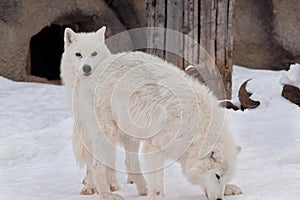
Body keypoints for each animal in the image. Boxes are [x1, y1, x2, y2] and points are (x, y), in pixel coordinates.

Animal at [59, 27, 243, 200]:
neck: (196, 127)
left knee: (128, 163)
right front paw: (155, 196)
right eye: (217, 176)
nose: (218, 199)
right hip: (107, 133)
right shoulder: (154, 148)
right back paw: (106, 193)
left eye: (225, 178)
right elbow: (158, 186)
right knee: (96, 166)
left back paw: (140, 189)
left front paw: (229, 189)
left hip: (129, 133)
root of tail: (95, 69)